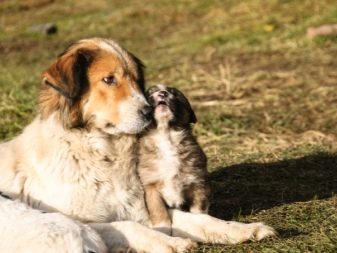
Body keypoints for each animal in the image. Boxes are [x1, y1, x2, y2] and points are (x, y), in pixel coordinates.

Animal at [138, 84, 209, 233]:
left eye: (175, 94)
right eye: (149, 93)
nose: (163, 93)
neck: (166, 136)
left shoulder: (198, 183)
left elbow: (199, 209)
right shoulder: (150, 187)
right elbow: (159, 211)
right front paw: (163, 230)